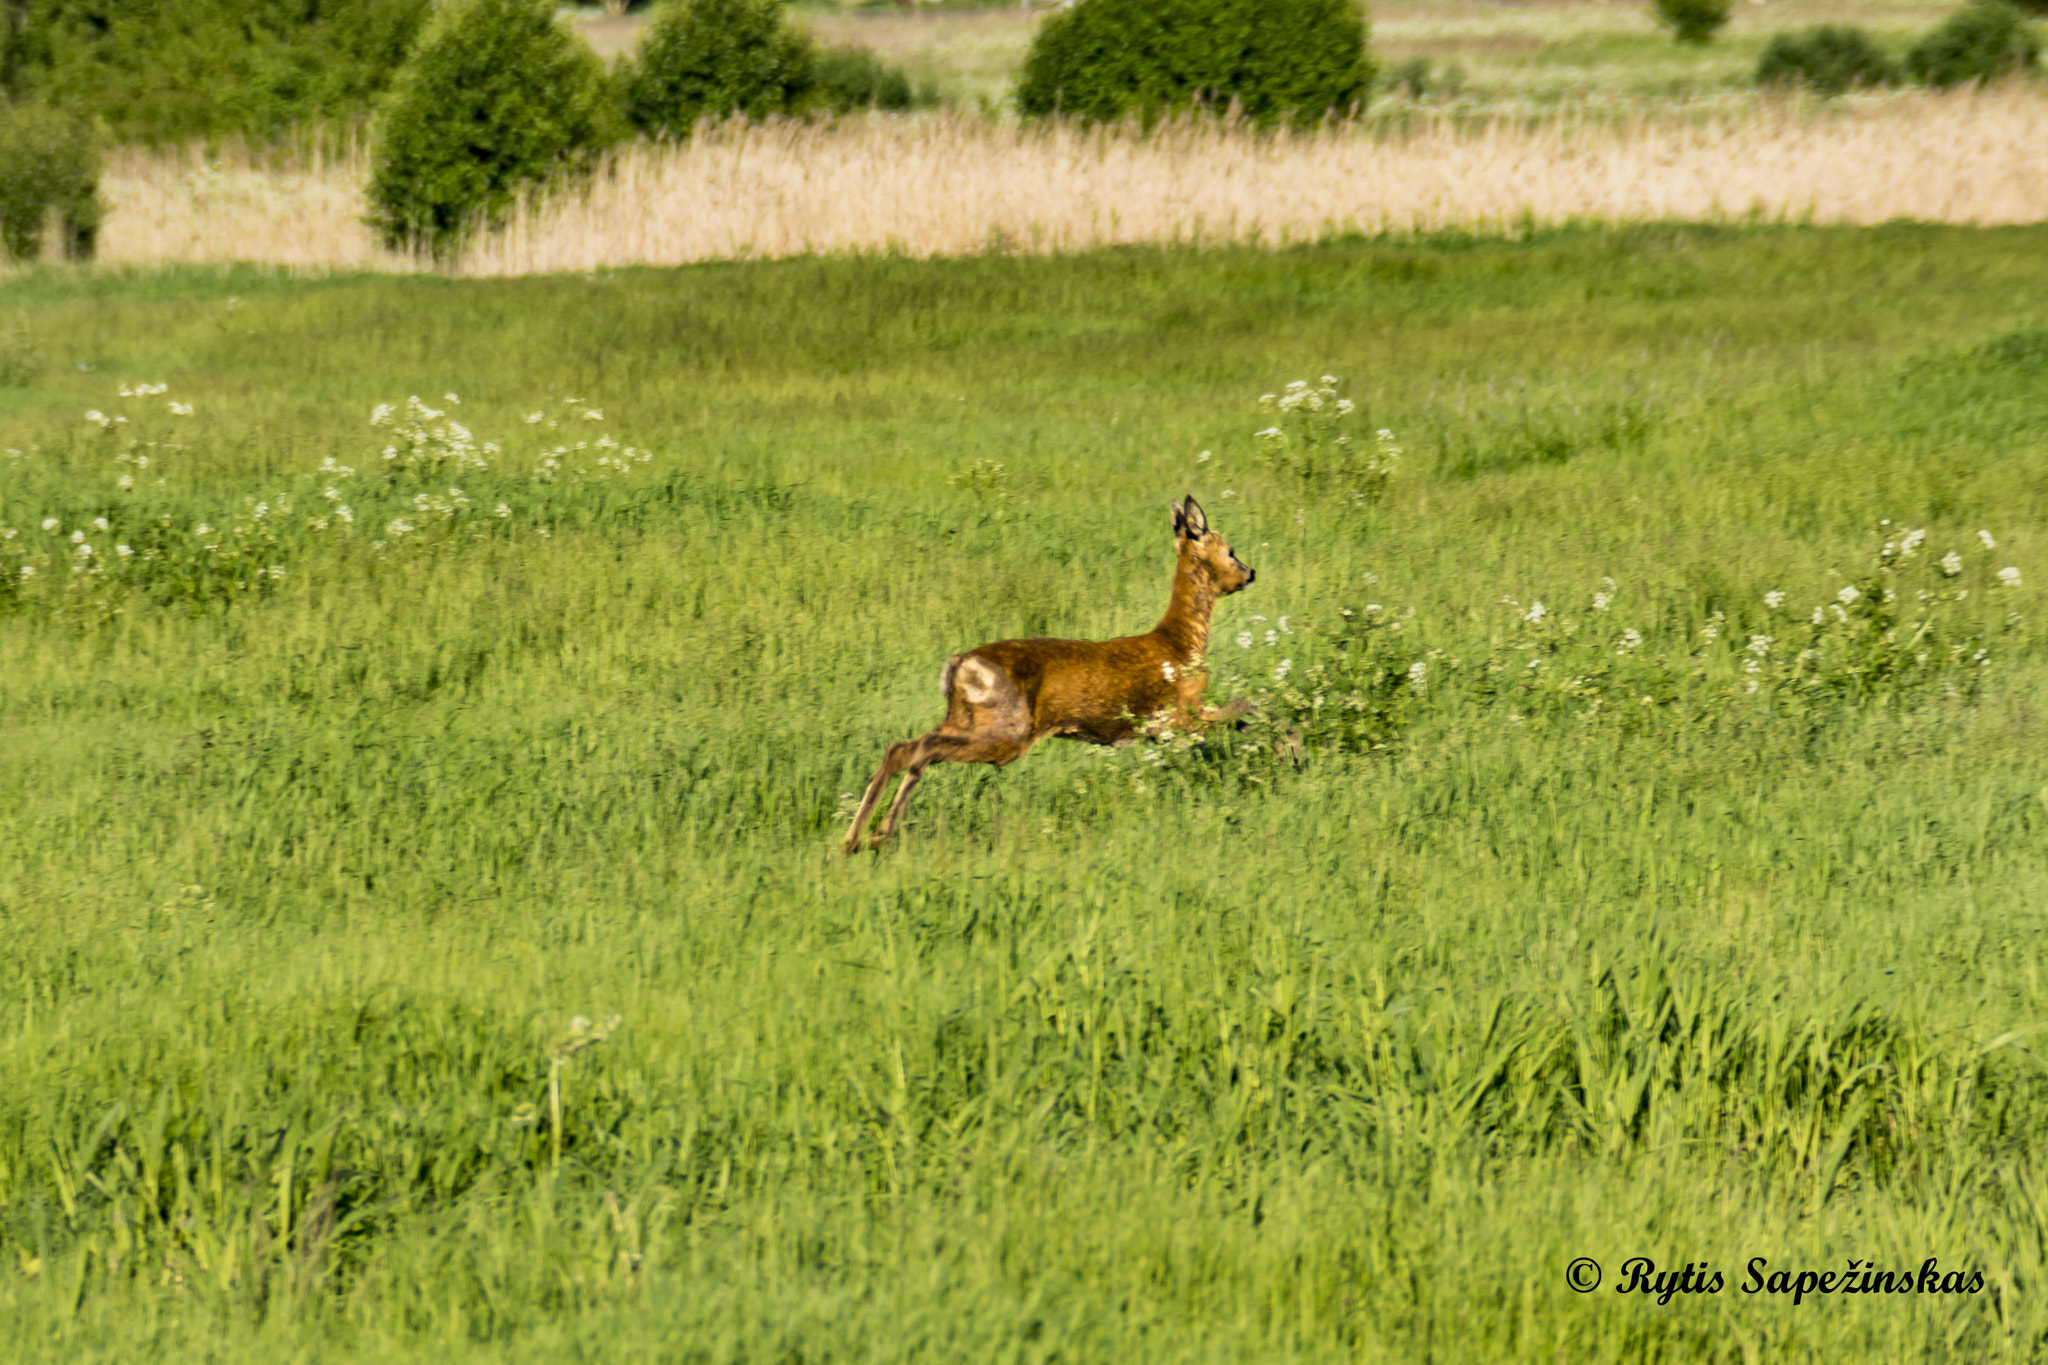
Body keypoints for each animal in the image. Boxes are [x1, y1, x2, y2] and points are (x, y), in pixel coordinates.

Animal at [844, 495, 1256, 854]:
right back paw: (877, 835)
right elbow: (1243, 711)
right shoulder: (1181, 714)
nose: (1251, 572)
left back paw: (852, 841)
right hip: (1008, 730)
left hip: (965, 718)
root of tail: (958, 667)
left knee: (901, 748)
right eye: (1231, 550)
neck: (1181, 643)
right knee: (923, 750)